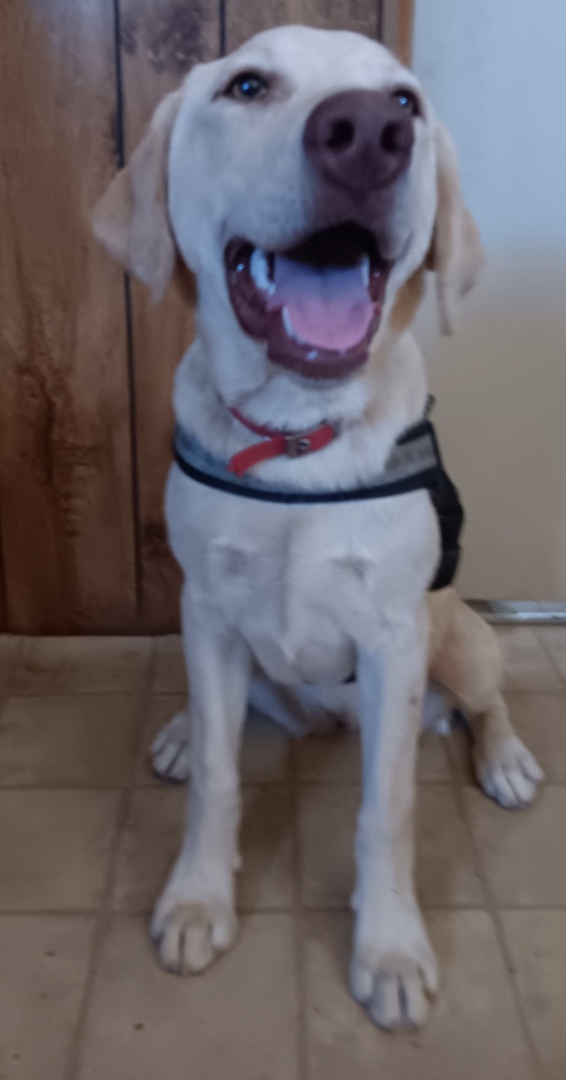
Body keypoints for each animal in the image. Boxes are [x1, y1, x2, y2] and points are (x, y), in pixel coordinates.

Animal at [93, 25, 543, 1030]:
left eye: (407, 101)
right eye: (246, 86)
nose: (370, 135)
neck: (298, 431)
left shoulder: (394, 641)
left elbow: (388, 814)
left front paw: (390, 949)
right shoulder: (208, 614)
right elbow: (220, 780)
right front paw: (198, 900)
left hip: (458, 636)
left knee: (486, 698)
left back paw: (504, 758)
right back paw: (181, 730)